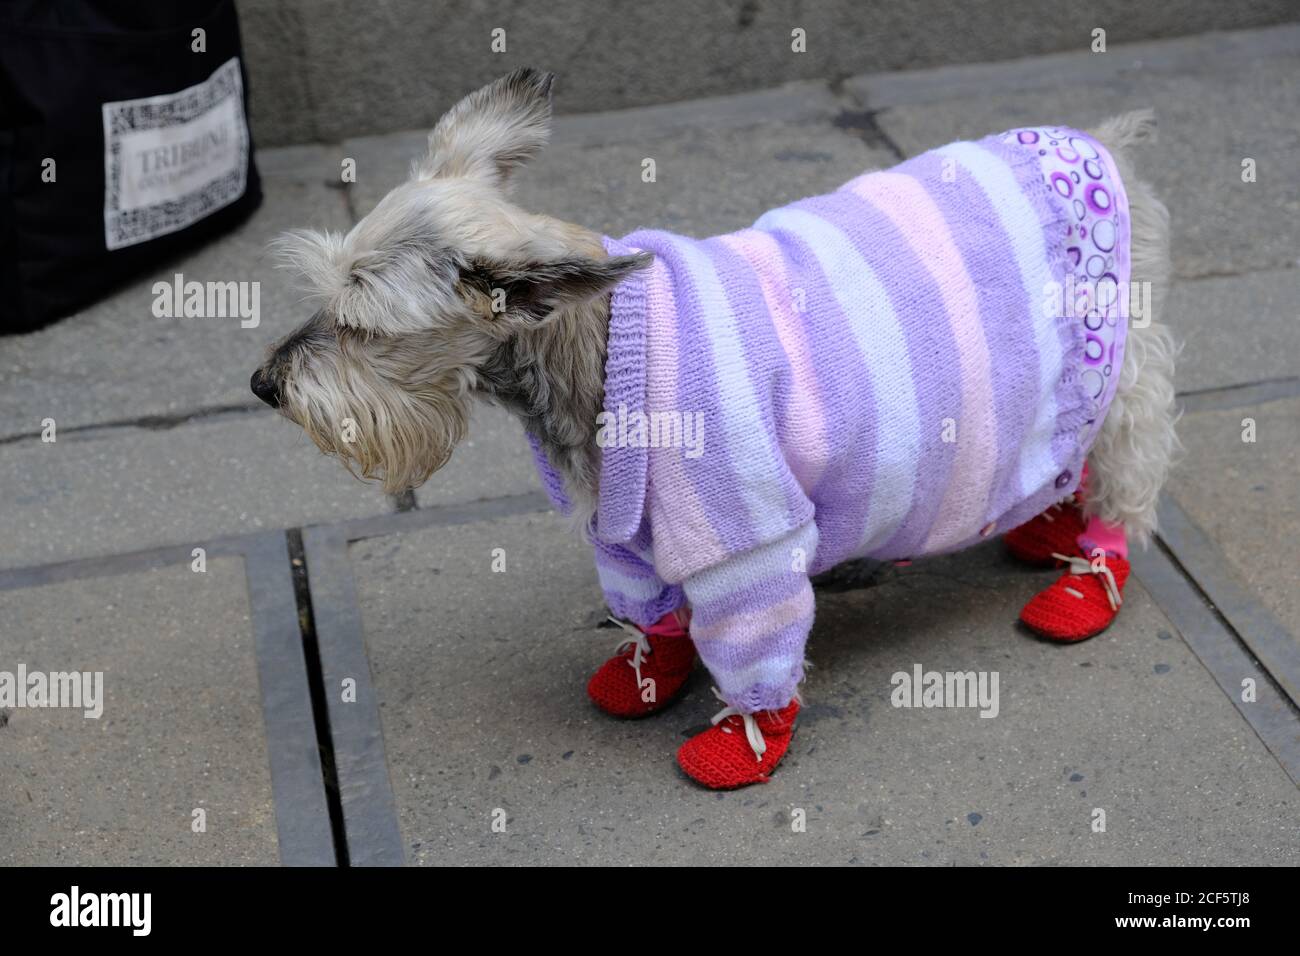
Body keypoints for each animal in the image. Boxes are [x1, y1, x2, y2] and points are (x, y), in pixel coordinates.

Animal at [253, 69, 1180, 790]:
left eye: (362, 328)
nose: (264, 385)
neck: (596, 347)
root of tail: (1096, 143)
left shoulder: (746, 542)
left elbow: (752, 644)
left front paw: (746, 740)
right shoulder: (622, 527)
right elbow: (649, 609)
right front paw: (648, 669)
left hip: (1119, 372)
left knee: (1127, 478)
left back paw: (1085, 574)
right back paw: (1044, 525)